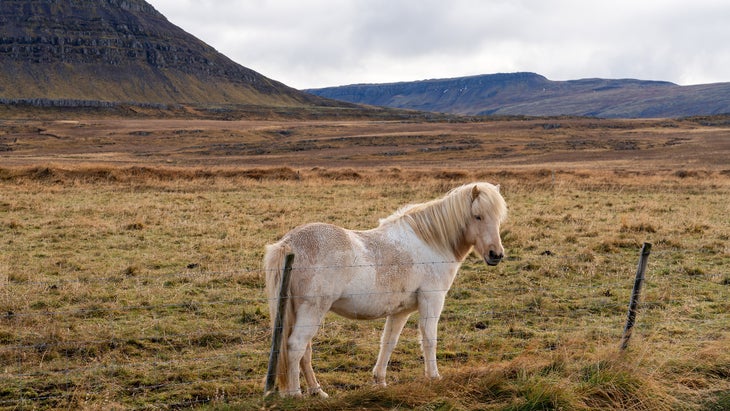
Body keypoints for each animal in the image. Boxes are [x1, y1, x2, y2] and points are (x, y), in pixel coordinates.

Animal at [264, 182, 506, 398]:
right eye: (477, 216)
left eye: (498, 218)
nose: (496, 254)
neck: (431, 243)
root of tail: (289, 243)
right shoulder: (432, 300)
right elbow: (429, 339)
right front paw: (434, 377)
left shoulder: (400, 311)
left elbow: (389, 342)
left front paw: (379, 380)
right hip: (312, 310)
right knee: (296, 347)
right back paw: (295, 394)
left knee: (305, 351)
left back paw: (317, 391)